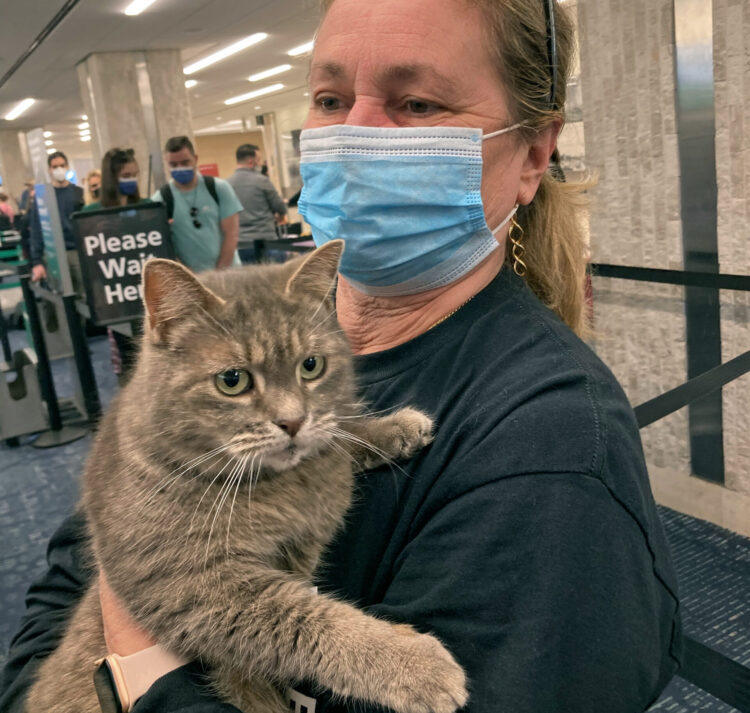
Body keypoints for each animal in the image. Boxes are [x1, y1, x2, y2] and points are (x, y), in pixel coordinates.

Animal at [26, 241, 470, 712]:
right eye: (232, 380)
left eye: (311, 366)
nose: (292, 421)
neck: (287, 486)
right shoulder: (191, 584)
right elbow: (305, 620)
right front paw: (410, 662)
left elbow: (339, 433)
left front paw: (394, 428)